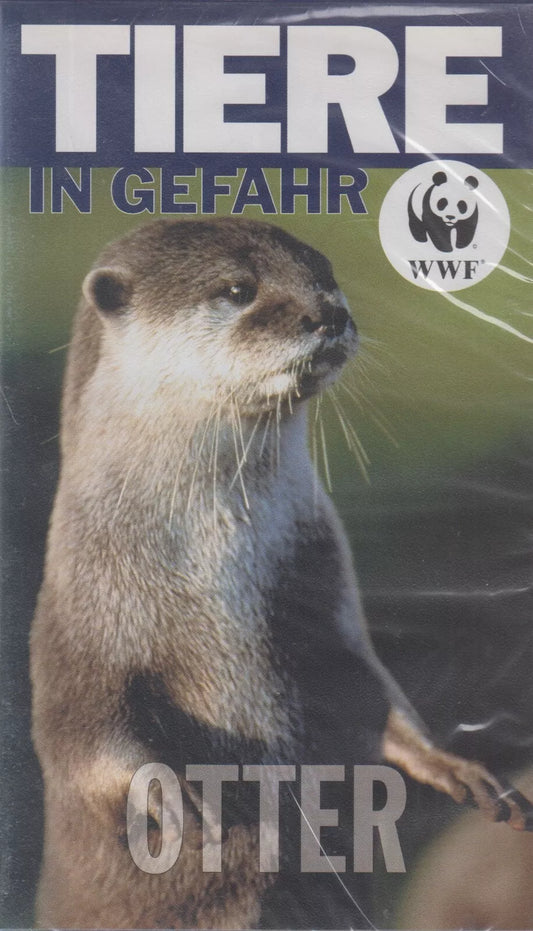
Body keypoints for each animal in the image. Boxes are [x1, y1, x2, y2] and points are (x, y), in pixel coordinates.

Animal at [31, 218, 530, 930]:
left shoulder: (325, 590)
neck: (213, 571)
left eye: (325, 274)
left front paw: (454, 764)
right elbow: (83, 734)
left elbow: (371, 691)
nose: (329, 313)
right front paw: (178, 799)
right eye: (239, 289)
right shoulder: (80, 622)